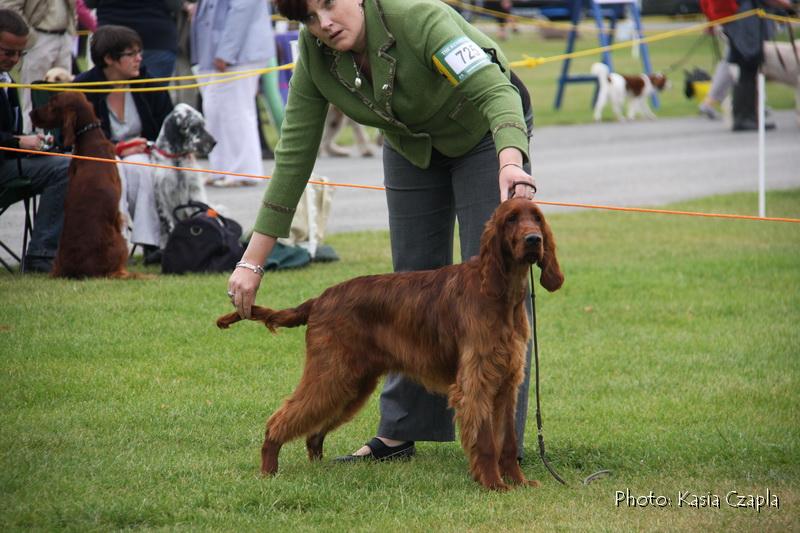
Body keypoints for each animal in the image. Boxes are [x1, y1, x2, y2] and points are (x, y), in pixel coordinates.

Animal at [152, 102, 216, 245]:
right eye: (194, 128)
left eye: (203, 125)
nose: (214, 143)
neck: (176, 161)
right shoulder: (161, 198)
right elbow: (169, 224)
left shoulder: (194, 191)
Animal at [214, 197, 564, 488]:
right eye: (511, 220)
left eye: (536, 218)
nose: (534, 240)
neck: (501, 294)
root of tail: (318, 300)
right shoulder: (476, 384)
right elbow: (487, 442)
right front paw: (494, 485)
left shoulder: (506, 382)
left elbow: (507, 441)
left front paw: (518, 482)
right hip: (332, 373)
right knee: (280, 420)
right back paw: (268, 470)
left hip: (352, 383)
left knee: (313, 431)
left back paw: (318, 468)